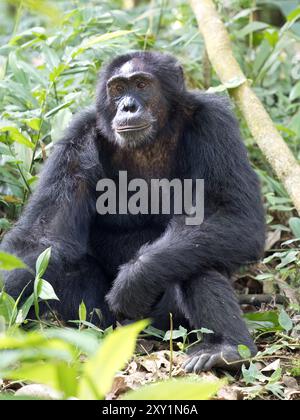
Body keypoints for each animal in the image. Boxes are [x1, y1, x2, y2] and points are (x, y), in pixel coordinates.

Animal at [0, 50, 264, 372]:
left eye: (141, 84)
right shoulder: (77, 137)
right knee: (60, 262)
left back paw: (227, 348)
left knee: (195, 257)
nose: (127, 106)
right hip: (101, 320)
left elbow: (236, 215)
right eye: (117, 89)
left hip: (166, 322)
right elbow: (43, 235)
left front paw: (135, 278)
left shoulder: (215, 122)